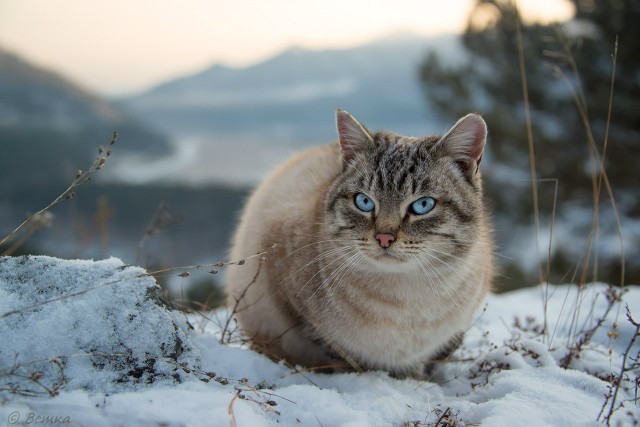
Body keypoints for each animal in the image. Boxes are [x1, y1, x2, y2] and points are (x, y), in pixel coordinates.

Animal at [225, 109, 496, 378]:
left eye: (423, 205)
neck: (404, 300)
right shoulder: (292, 303)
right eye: (364, 202)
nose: (384, 237)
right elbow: (343, 355)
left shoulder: (456, 328)